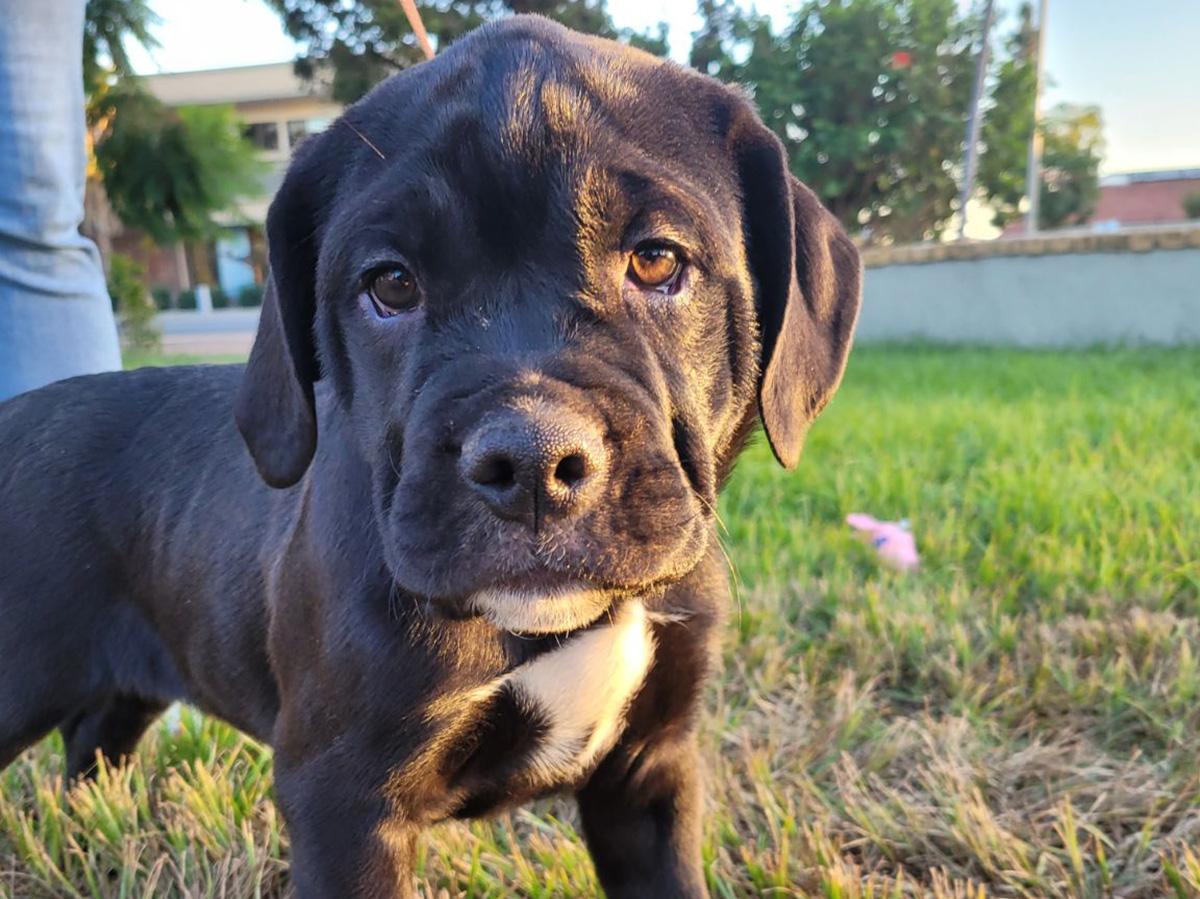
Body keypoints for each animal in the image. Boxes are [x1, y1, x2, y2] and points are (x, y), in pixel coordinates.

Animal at [0, 15, 864, 897]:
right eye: (391, 284)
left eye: (658, 261)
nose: (531, 462)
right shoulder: (345, 800)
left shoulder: (649, 769)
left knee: (96, 737)